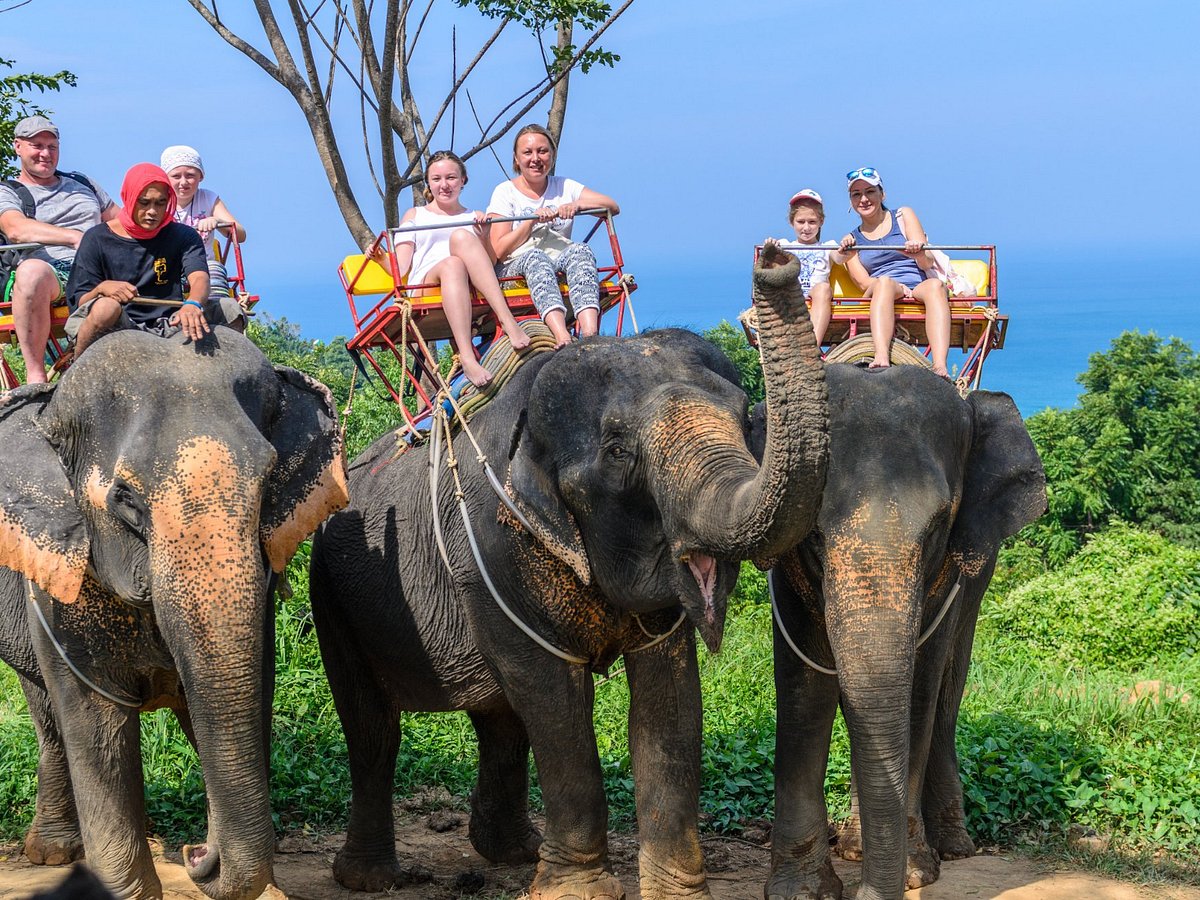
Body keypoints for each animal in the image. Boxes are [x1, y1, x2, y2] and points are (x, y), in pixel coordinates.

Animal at [0, 331, 348, 900]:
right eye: (125, 498)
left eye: (268, 480)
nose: (196, 854)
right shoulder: (59, 592)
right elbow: (95, 720)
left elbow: (236, 700)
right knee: (47, 712)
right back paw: (53, 852)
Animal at [309, 247, 830, 900]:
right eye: (617, 452)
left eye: (746, 421)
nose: (775, 256)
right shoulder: (493, 548)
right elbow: (554, 698)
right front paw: (577, 891)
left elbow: (670, 704)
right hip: (331, 593)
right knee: (373, 727)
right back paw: (372, 878)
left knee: (500, 719)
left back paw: (511, 852)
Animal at [763, 364, 1046, 900]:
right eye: (813, 534)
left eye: (937, 527)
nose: (868, 894)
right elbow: (804, 690)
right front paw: (801, 891)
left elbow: (919, 686)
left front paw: (916, 873)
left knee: (946, 696)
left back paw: (952, 847)